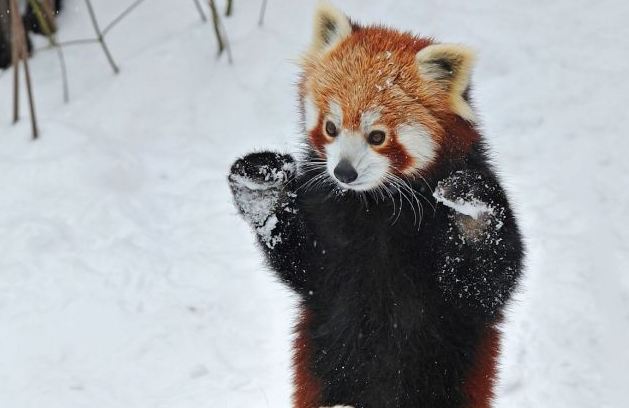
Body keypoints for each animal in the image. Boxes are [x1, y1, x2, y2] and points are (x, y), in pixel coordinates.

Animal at [228, 1, 524, 406]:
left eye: (378, 136)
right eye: (331, 127)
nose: (344, 172)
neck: (376, 205)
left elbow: (487, 284)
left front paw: (472, 214)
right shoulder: (324, 217)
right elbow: (305, 267)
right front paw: (262, 191)